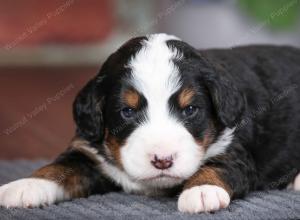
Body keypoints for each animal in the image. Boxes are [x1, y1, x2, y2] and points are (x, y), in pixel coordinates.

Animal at [0, 33, 300, 213]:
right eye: (127, 112)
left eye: (190, 110)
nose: (162, 160)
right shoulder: (88, 153)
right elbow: (59, 168)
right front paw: (25, 185)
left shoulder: (234, 147)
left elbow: (218, 165)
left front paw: (203, 190)